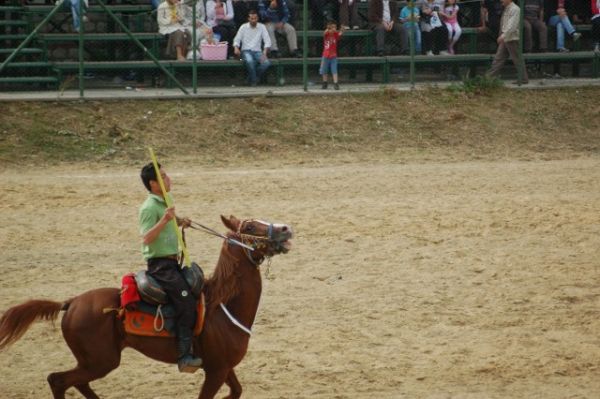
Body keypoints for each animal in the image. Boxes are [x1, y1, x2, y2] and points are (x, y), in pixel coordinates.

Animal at [0, 216, 292, 399]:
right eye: (251, 225)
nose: (286, 229)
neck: (223, 306)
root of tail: (71, 303)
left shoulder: (222, 368)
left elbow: (236, 391)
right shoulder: (216, 371)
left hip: (94, 361)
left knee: (77, 382)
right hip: (101, 361)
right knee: (58, 380)